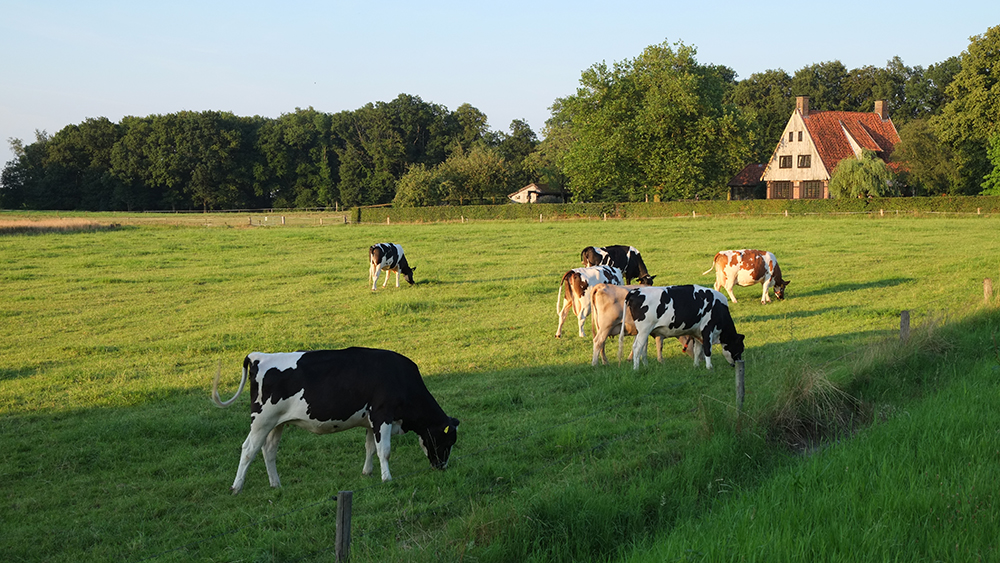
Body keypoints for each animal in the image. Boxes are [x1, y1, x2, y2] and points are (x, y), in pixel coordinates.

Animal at [214, 346, 460, 496]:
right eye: (447, 441)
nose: (442, 467)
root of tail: (259, 356)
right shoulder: (382, 415)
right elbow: (385, 451)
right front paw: (387, 478)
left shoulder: (371, 421)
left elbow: (370, 448)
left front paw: (367, 473)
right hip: (262, 421)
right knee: (249, 449)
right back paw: (236, 487)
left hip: (276, 423)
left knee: (268, 450)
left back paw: (276, 484)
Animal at [620, 286, 748, 370]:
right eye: (740, 348)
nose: (736, 364)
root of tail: (635, 291)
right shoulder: (707, 329)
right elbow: (707, 349)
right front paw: (709, 367)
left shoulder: (697, 333)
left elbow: (697, 350)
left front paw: (696, 366)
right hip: (644, 330)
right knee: (637, 348)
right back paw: (636, 369)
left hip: (642, 332)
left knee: (641, 348)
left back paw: (645, 366)